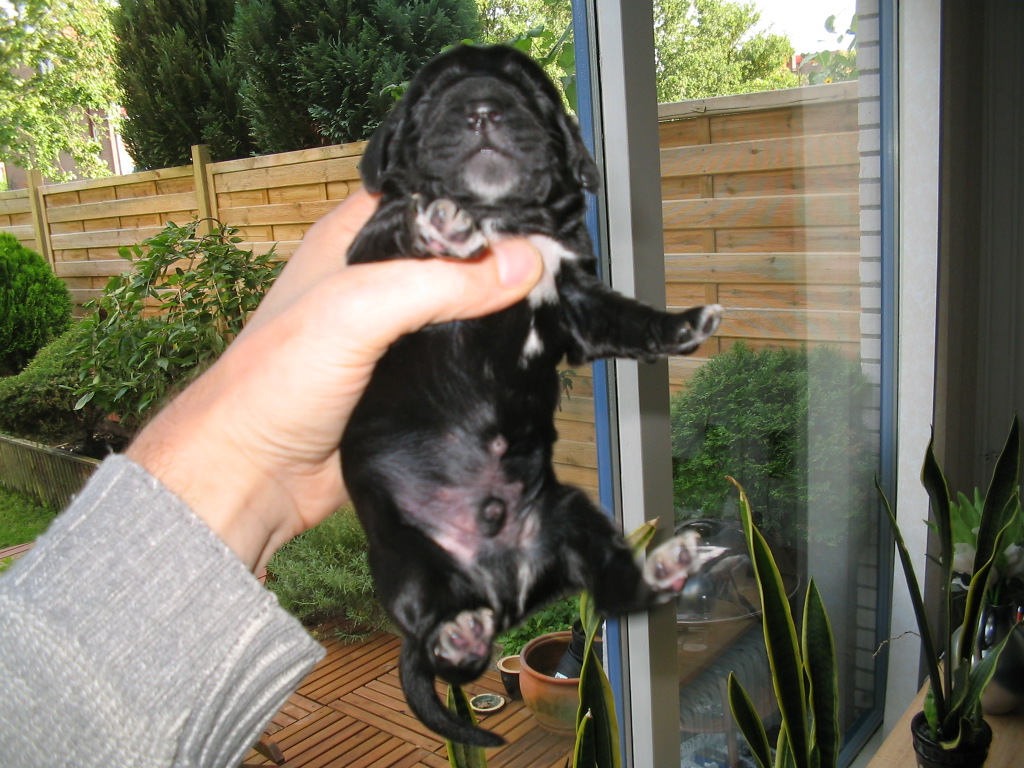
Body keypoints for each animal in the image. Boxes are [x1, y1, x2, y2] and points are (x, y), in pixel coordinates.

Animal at [339, 45, 724, 749]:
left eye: (531, 92)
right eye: (428, 97)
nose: (482, 107)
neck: (509, 220)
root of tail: (504, 589)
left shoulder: (577, 301)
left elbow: (626, 318)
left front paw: (681, 325)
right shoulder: (367, 273)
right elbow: (392, 231)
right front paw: (438, 224)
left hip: (571, 517)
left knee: (616, 588)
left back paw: (664, 564)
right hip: (405, 559)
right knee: (442, 650)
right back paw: (458, 635)